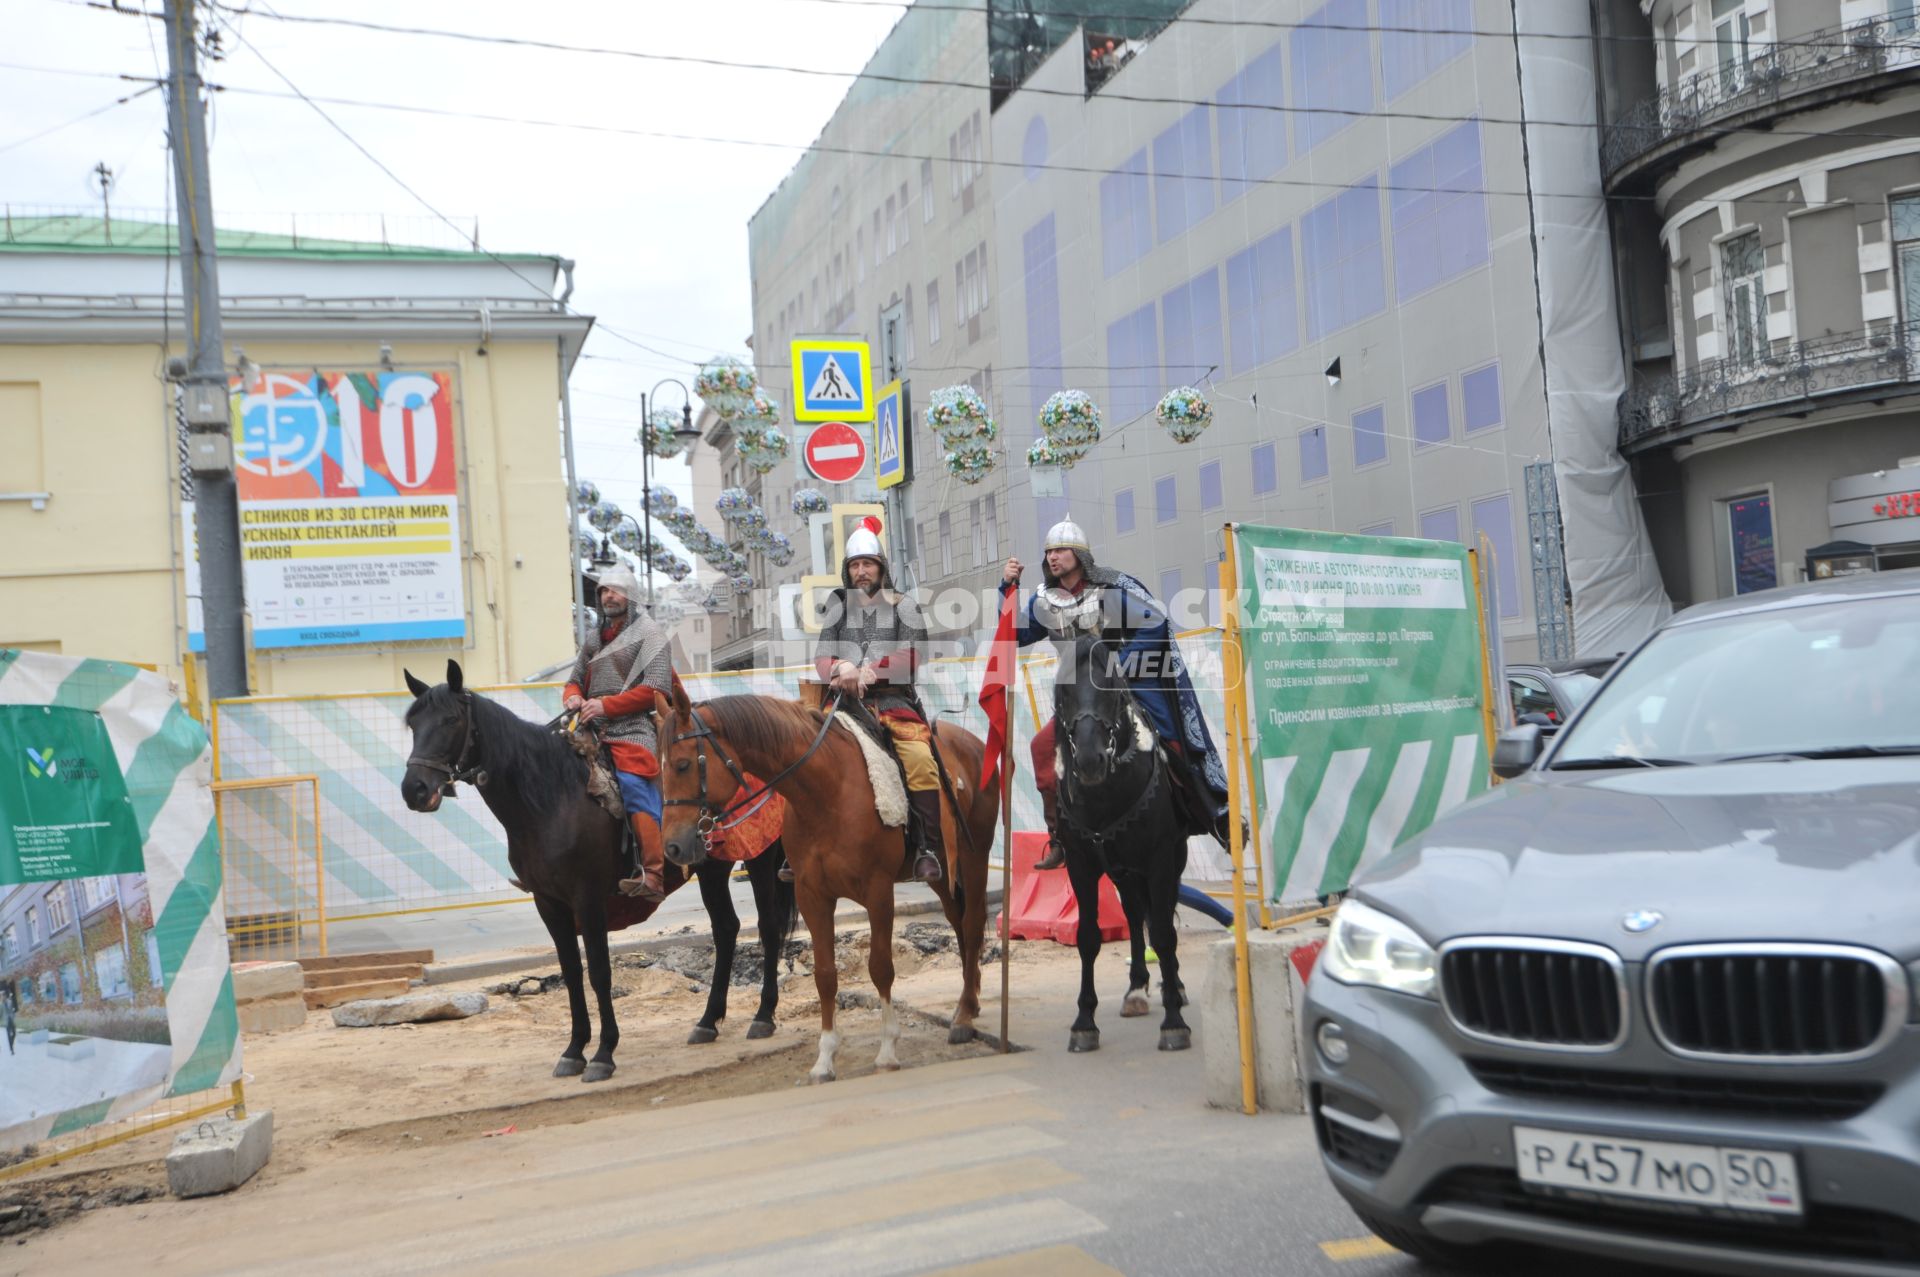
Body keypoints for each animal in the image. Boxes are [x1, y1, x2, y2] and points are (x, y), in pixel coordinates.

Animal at [397, 660, 794, 1083]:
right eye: (414, 724)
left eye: (451, 720)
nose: (414, 789)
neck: (550, 797)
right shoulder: (549, 903)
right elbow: (572, 972)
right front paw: (574, 1050)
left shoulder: (588, 900)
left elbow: (600, 972)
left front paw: (604, 1053)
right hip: (712, 868)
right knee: (726, 929)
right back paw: (708, 1021)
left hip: (759, 858)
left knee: (767, 927)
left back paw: (764, 1014)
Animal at [1052, 633, 1182, 1052]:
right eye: (1064, 692)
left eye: (1110, 687)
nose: (1089, 761)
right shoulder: (1081, 865)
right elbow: (1088, 937)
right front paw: (1084, 1023)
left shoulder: (1161, 859)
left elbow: (1163, 932)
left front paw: (1174, 1021)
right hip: (1123, 871)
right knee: (1134, 913)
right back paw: (1136, 989)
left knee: (1159, 918)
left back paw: (1174, 987)